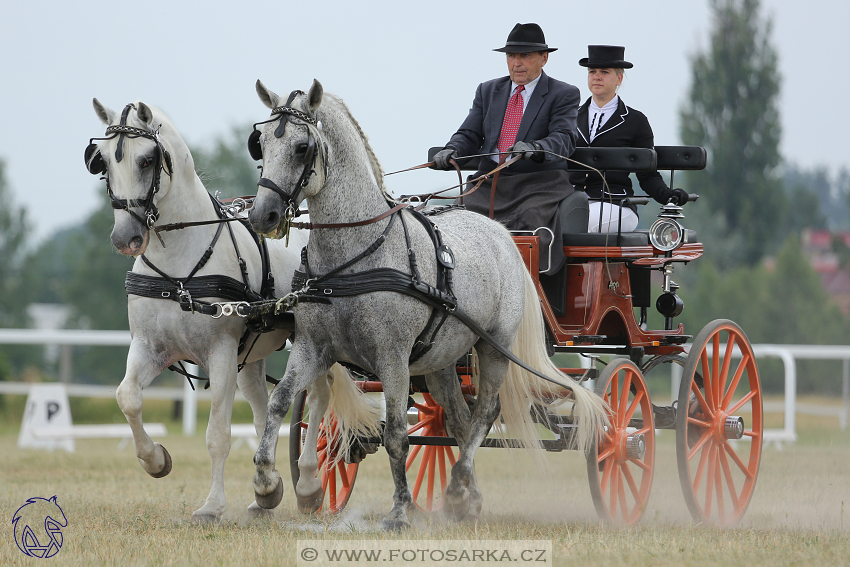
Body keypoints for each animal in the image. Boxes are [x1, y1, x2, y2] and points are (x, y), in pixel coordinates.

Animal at [87, 101, 378, 524]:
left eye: (146, 160)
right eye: (104, 161)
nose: (125, 238)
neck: (180, 267)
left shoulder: (220, 353)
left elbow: (217, 435)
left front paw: (212, 506)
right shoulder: (149, 346)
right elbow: (128, 397)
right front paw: (155, 460)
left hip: (312, 343)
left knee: (318, 402)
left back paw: (308, 484)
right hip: (253, 356)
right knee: (263, 413)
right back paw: (267, 491)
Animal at [245, 81, 608, 532]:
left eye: (301, 147)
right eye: (260, 143)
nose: (262, 214)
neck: (356, 255)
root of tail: (502, 232)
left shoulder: (393, 357)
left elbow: (397, 435)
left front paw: (400, 510)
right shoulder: (314, 348)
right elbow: (279, 403)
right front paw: (267, 484)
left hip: (494, 348)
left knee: (485, 412)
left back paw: (456, 489)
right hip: (441, 359)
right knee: (459, 419)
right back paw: (466, 497)